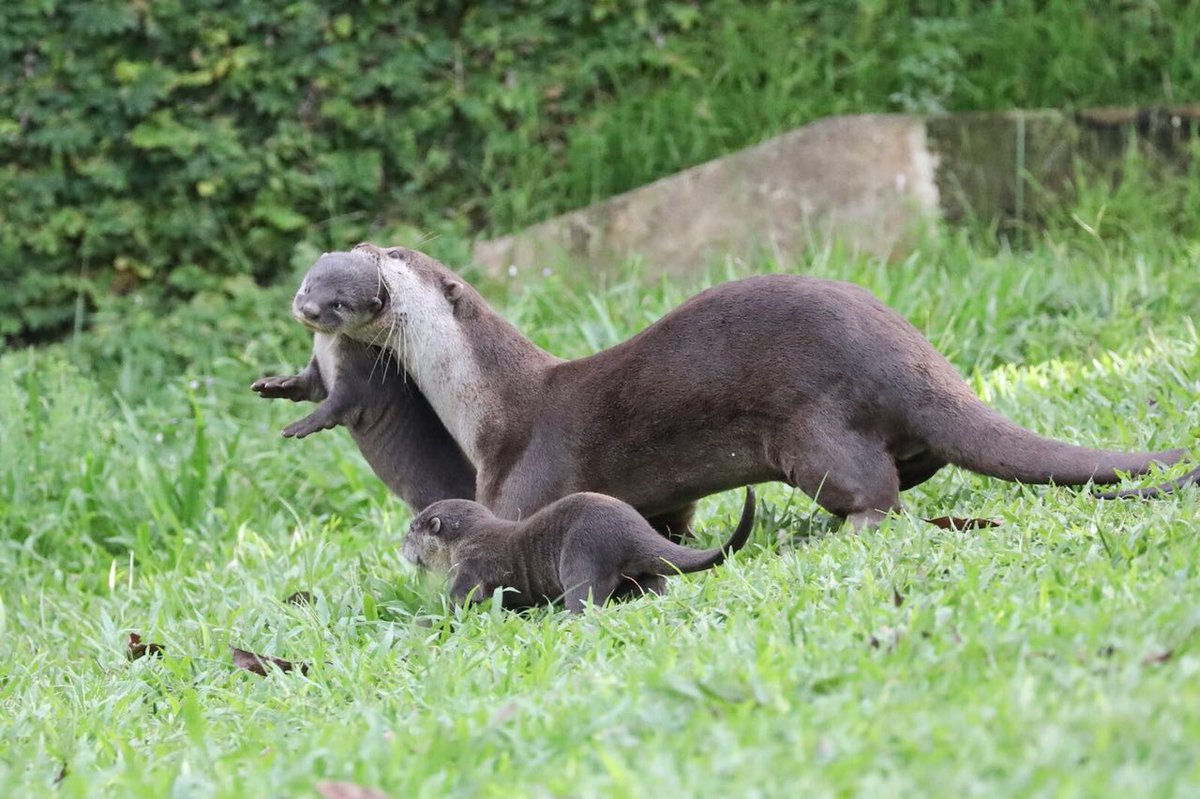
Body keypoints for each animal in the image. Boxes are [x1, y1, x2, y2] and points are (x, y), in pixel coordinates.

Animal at [251, 252, 475, 511]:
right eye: (308, 288)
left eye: (338, 304)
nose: (309, 310)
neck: (329, 352)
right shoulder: (318, 370)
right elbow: (309, 387)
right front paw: (277, 384)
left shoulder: (361, 377)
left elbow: (336, 405)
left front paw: (304, 423)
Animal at [315, 242, 1194, 529]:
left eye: (395, 257)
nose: (350, 261)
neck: (491, 407)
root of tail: (913, 357)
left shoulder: (519, 478)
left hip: (811, 432)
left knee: (875, 488)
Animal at [404, 488, 756, 612]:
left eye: (411, 530)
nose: (401, 547)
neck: (468, 538)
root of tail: (632, 529)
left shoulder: (472, 563)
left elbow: (462, 595)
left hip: (581, 557)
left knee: (584, 601)